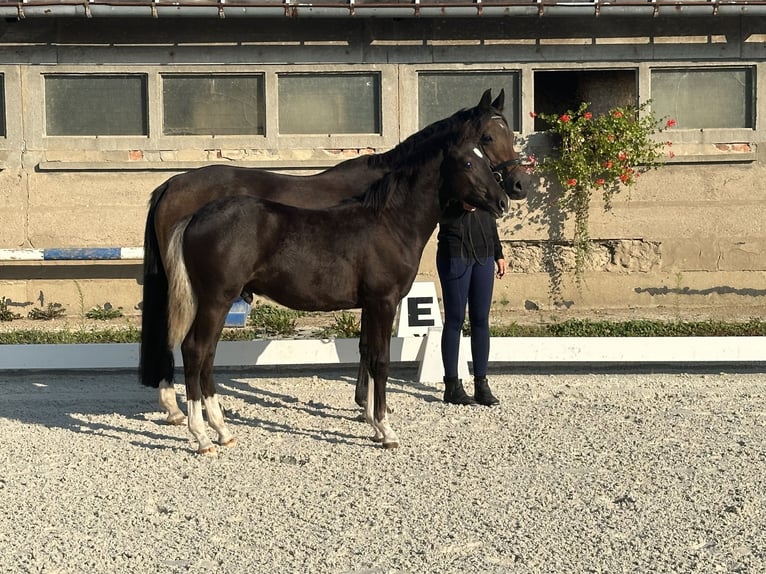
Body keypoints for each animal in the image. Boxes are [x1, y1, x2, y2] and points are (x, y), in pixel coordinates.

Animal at [141, 89, 532, 424]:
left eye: (509, 133)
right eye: (487, 138)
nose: (515, 188)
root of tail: (172, 186)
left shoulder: (370, 299)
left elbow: (366, 346)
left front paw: (366, 406)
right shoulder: (379, 298)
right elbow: (372, 351)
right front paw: (370, 410)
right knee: (188, 345)